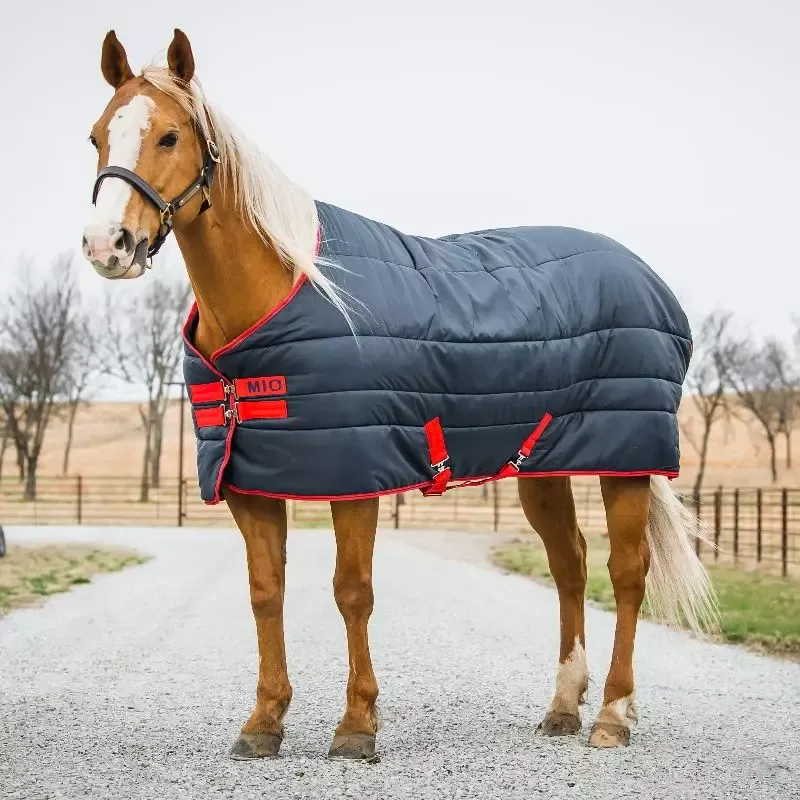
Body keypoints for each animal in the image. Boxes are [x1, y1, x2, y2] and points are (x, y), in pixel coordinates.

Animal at [82, 29, 718, 760]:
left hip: (628, 462)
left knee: (627, 572)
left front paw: (357, 726)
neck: (283, 293)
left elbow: (352, 592)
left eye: (168, 136)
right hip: (544, 465)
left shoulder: (356, 474)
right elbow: (265, 592)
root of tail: (643, 274)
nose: (107, 245)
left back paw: (613, 713)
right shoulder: (249, 481)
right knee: (570, 565)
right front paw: (264, 722)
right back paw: (563, 706)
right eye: (96, 135)